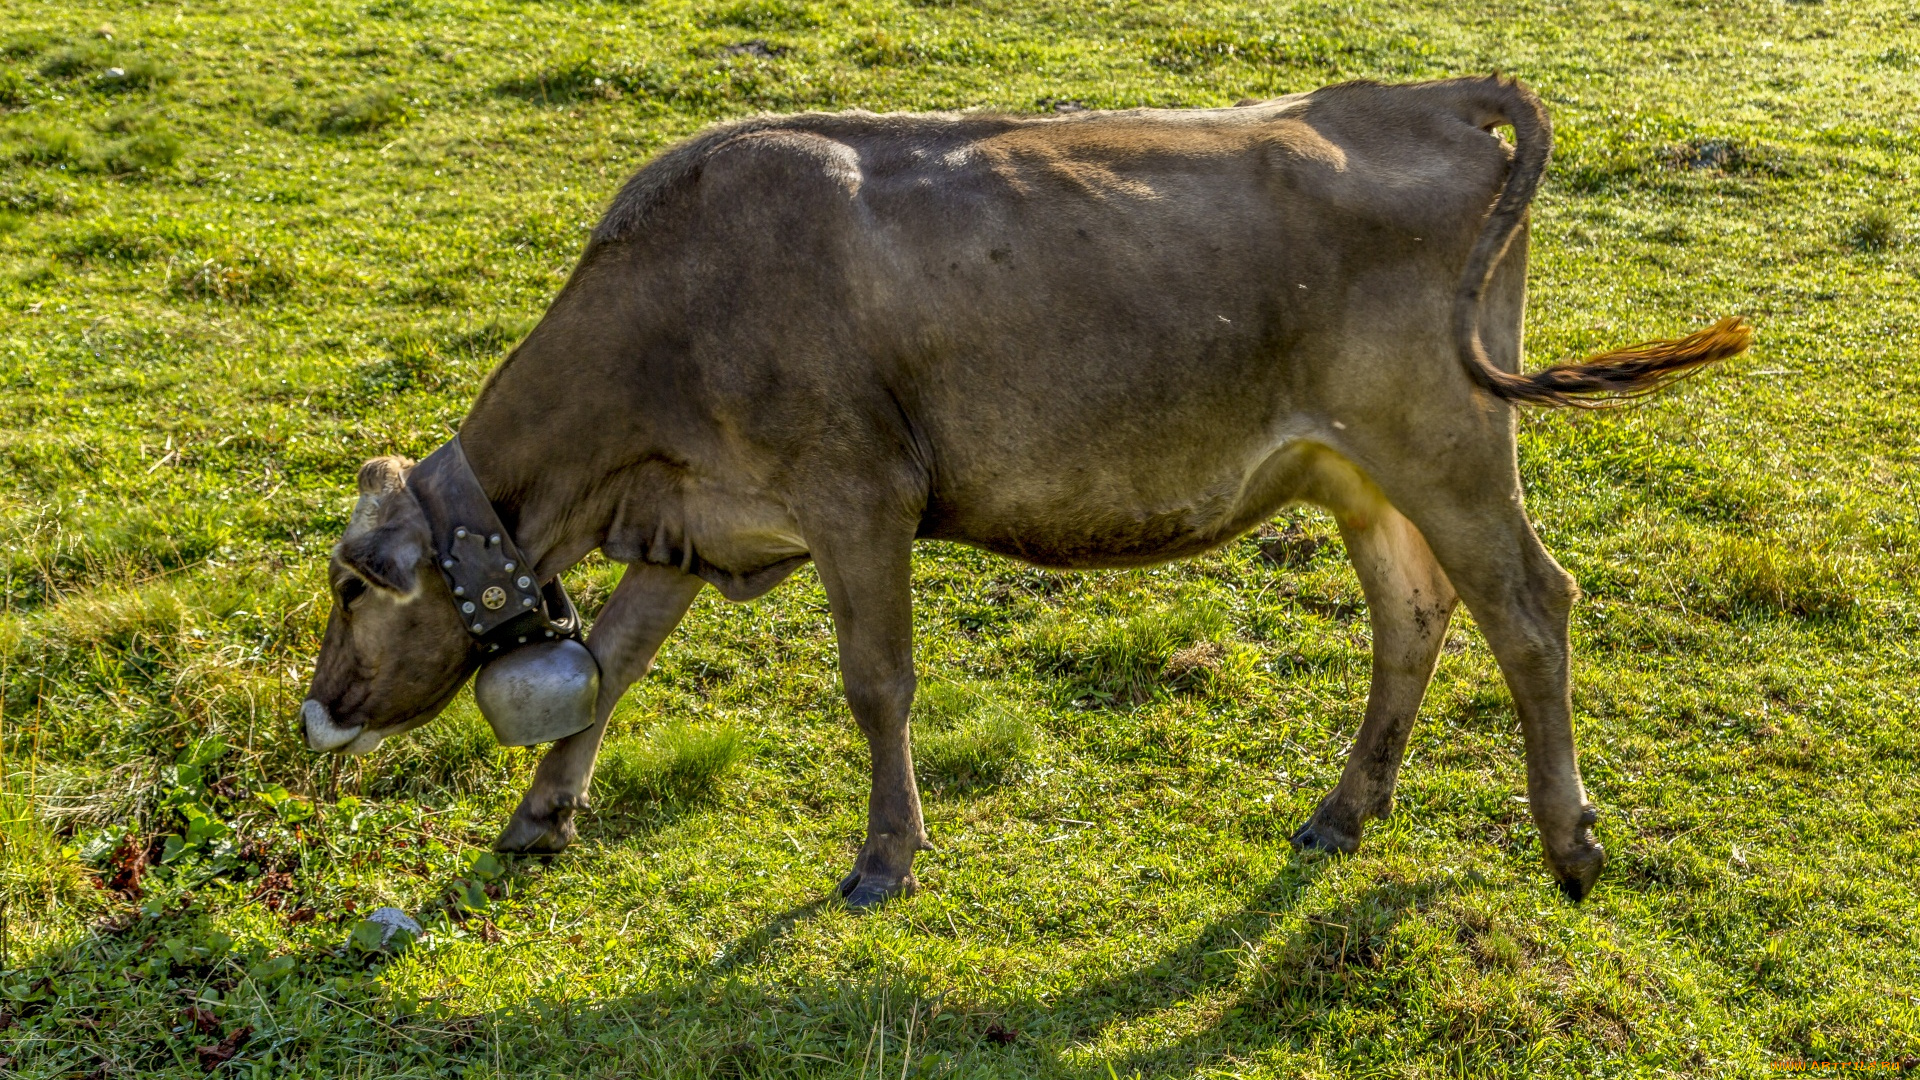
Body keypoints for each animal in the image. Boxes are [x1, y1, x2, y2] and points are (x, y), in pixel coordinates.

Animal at [300, 75, 1749, 906]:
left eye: (350, 585)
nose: (319, 710)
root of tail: (1425, 92)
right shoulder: (694, 518)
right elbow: (611, 661)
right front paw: (540, 817)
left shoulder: (857, 492)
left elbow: (875, 683)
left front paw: (885, 857)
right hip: (1358, 466)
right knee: (1416, 612)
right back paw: (1345, 812)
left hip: (1443, 437)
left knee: (1532, 607)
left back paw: (1570, 844)